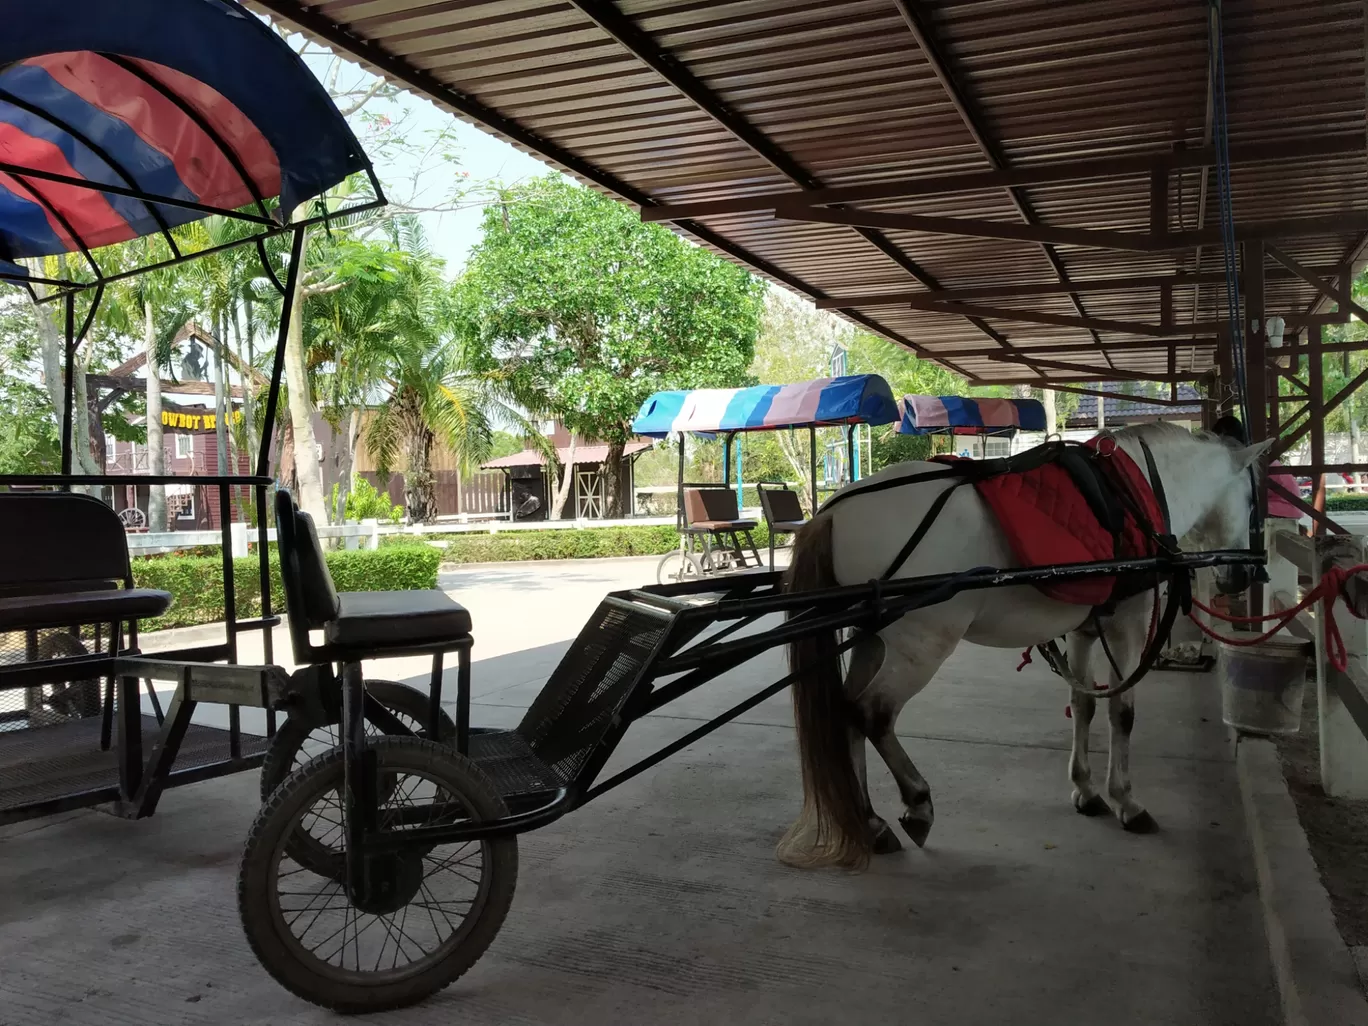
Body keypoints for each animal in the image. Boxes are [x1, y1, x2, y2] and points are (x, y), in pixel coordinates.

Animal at [777, 421, 1264, 870]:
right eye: (1253, 500)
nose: (1243, 576)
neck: (1134, 492)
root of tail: (833, 512)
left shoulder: (1087, 626)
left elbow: (1083, 704)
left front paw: (1086, 789)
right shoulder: (1129, 621)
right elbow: (1121, 711)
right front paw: (1126, 800)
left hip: (873, 639)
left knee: (845, 713)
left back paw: (871, 823)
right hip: (921, 643)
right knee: (872, 713)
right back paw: (916, 804)